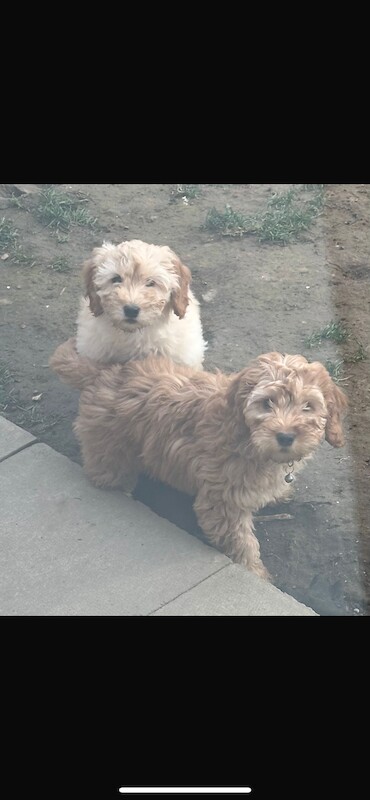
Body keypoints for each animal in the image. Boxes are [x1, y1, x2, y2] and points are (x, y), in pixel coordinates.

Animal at [49, 340, 346, 580]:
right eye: (266, 403)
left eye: (307, 406)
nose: (285, 436)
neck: (245, 435)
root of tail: (105, 373)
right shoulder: (223, 500)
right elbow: (240, 541)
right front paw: (255, 571)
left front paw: (279, 492)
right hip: (112, 449)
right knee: (106, 473)